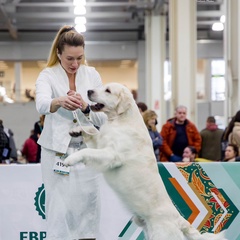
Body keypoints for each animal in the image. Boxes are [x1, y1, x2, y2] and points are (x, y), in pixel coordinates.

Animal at [63, 83, 225, 240]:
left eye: (107, 90)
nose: (89, 91)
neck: (121, 120)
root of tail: (179, 220)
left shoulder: (112, 155)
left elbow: (87, 151)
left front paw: (70, 159)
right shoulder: (101, 144)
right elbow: (91, 131)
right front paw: (76, 130)